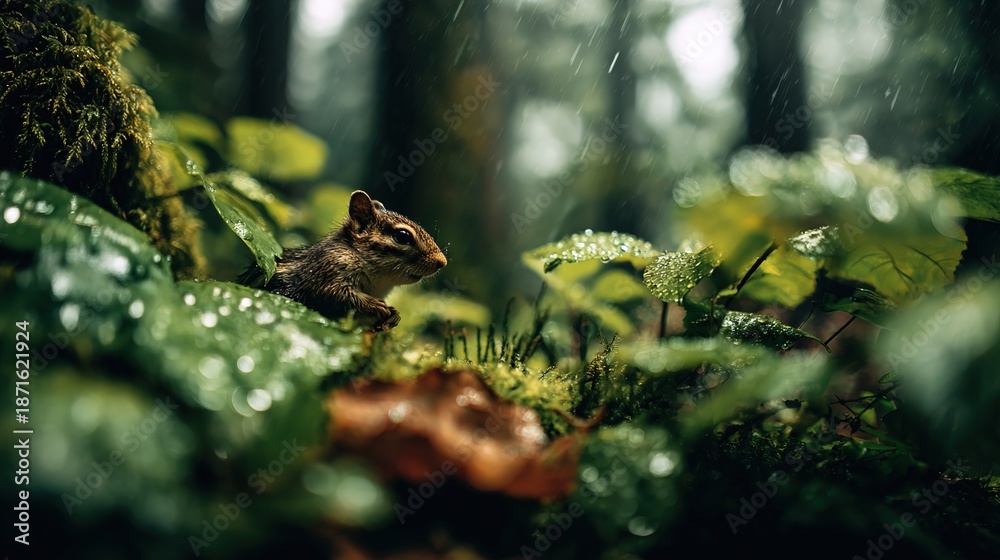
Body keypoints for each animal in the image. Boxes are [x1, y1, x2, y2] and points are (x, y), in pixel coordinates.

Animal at [239, 190, 447, 330]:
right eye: (403, 236)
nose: (442, 262)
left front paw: (395, 314)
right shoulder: (328, 269)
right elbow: (334, 295)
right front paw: (374, 305)